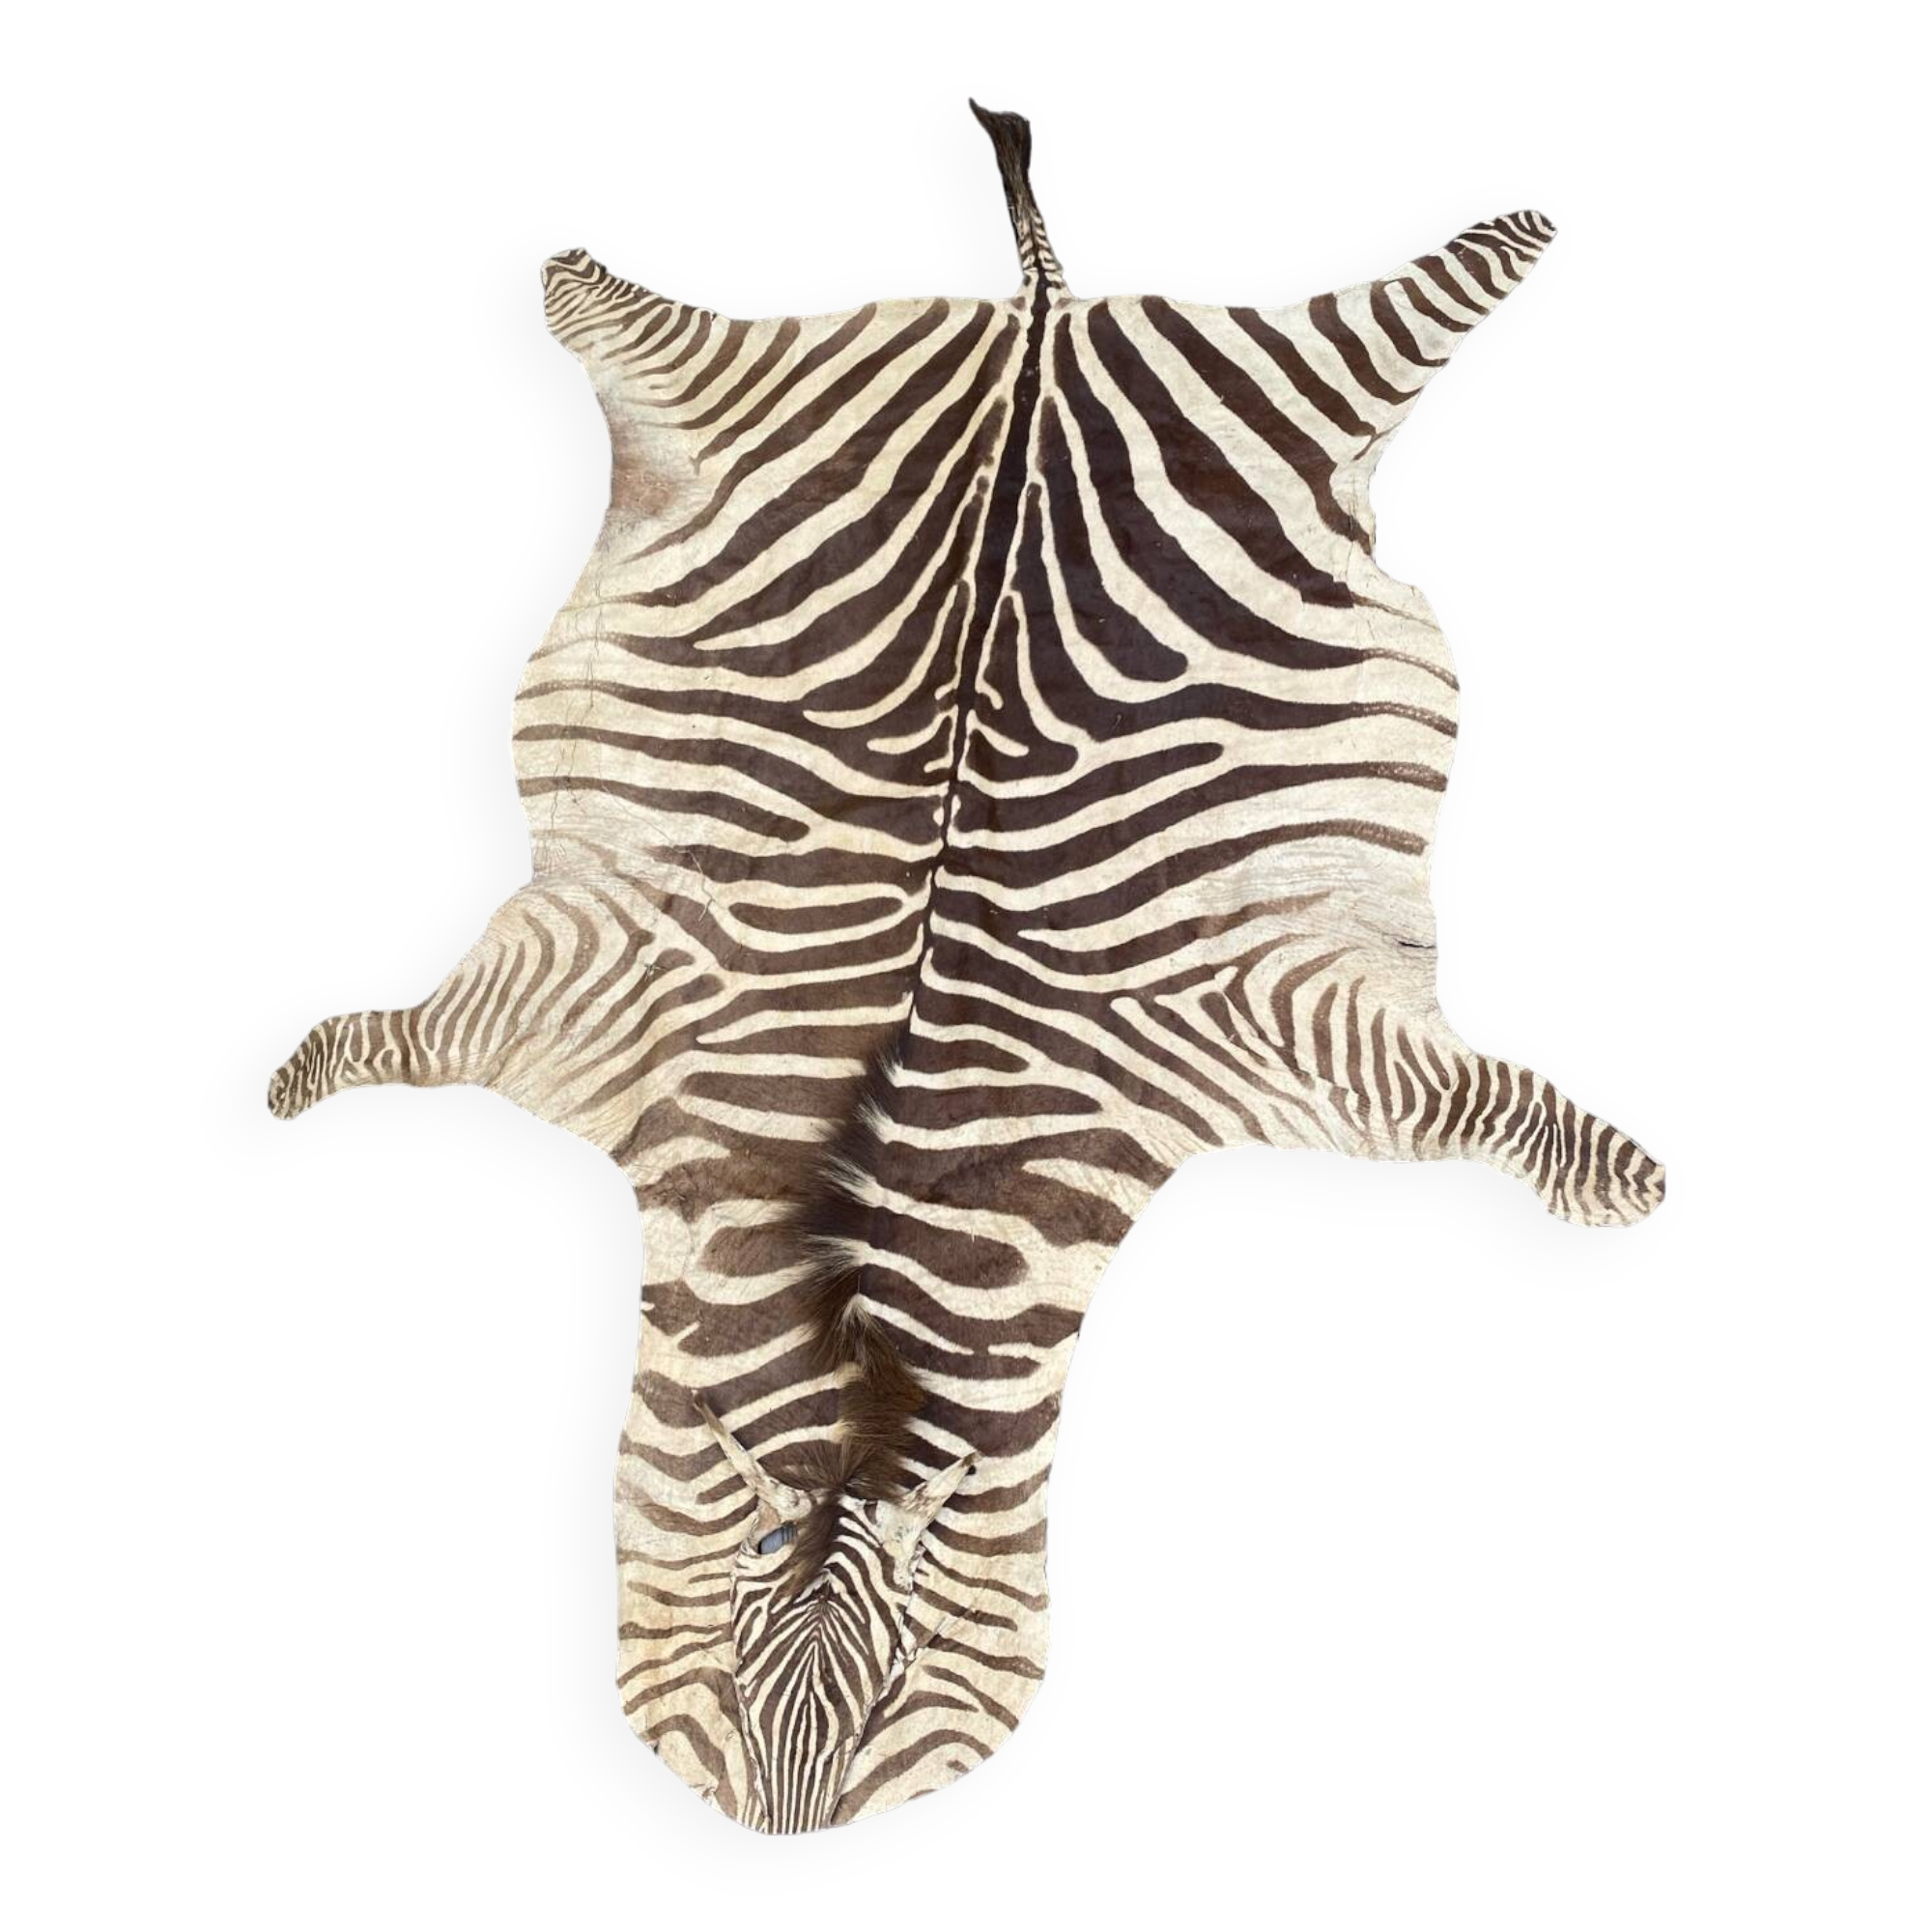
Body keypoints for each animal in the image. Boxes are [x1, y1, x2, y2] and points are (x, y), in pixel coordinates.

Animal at [265, 96, 1666, 1834]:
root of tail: (1040, 325)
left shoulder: (1279, 1030)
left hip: (1312, 376)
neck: (858, 1249)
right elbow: (384, 1038)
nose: (778, 1837)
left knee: (1453, 277)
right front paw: (289, 1084)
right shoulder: (574, 996)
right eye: (705, 1685)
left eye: (898, 1719)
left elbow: (1491, 1106)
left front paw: (1626, 1189)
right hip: (745, 386)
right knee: (595, 299)